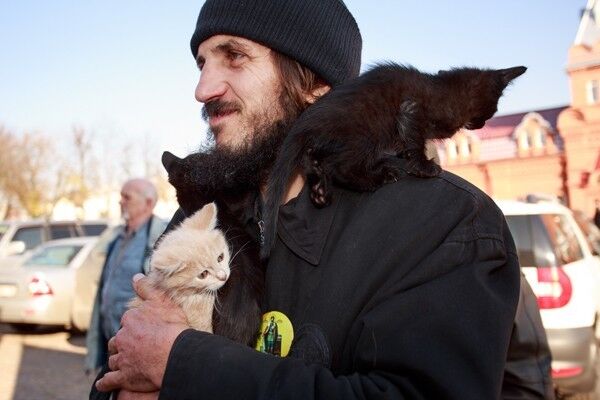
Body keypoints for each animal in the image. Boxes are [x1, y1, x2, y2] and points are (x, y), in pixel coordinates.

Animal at [262, 62, 524, 256]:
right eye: (492, 110)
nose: (480, 125)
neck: (445, 88)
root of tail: (306, 121)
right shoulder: (412, 110)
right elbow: (416, 140)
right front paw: (424, 167)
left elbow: (407, 142)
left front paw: (405, 155)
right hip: (366, 134)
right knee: (340, 166)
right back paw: (377, 178)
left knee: (312, 158)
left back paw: (319, 190)